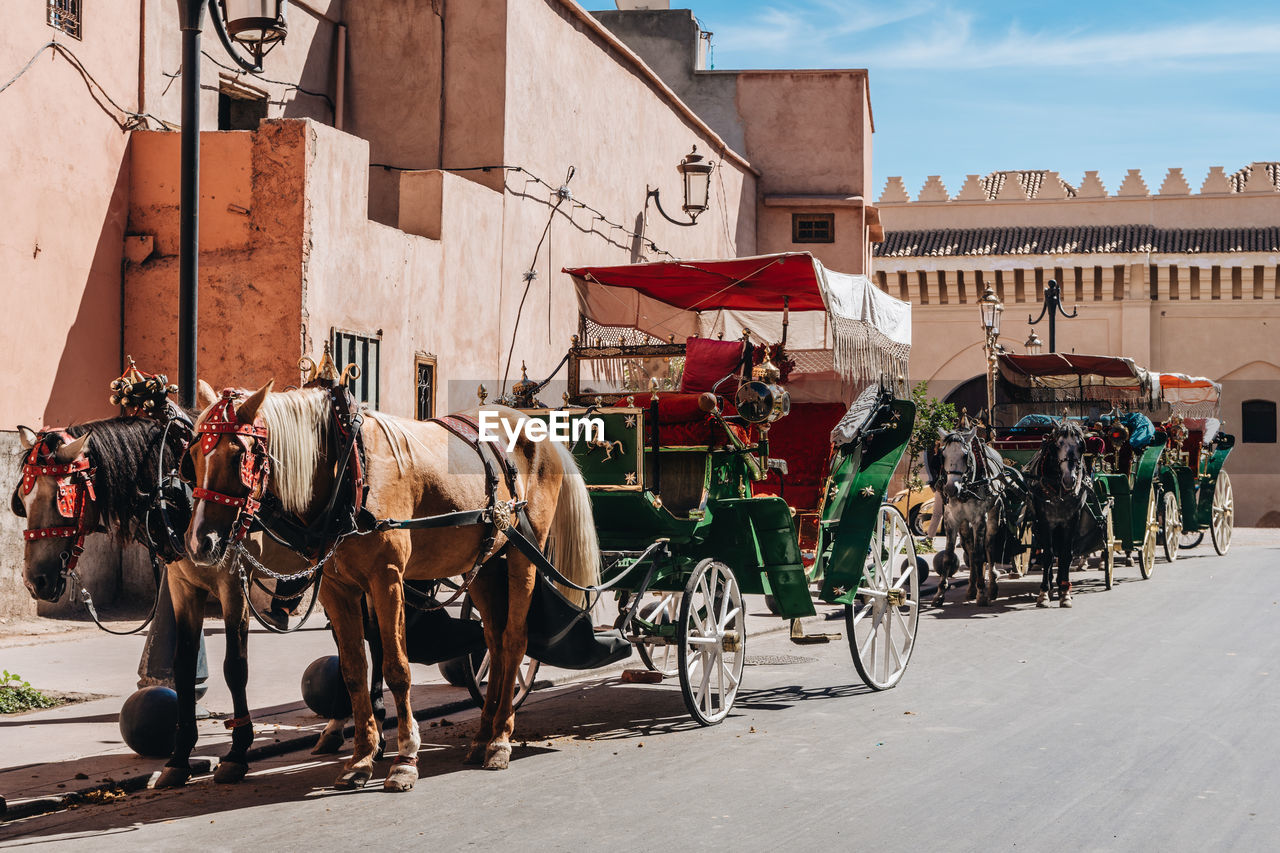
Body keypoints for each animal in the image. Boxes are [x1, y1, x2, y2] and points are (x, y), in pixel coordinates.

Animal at [184, 381, 599, 788]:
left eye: (239, 455)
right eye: (192, 455)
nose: (200, 542)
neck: (348, 469)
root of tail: (535, 426)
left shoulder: (386, 578)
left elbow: (397, 668)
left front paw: (404, 758)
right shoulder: (338, 587)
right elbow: (353, 670)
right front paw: (361, 758)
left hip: (522, 554)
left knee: (514, 641)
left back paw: (500, 739)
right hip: (483, 563)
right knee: (494, 642)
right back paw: (483, 736)